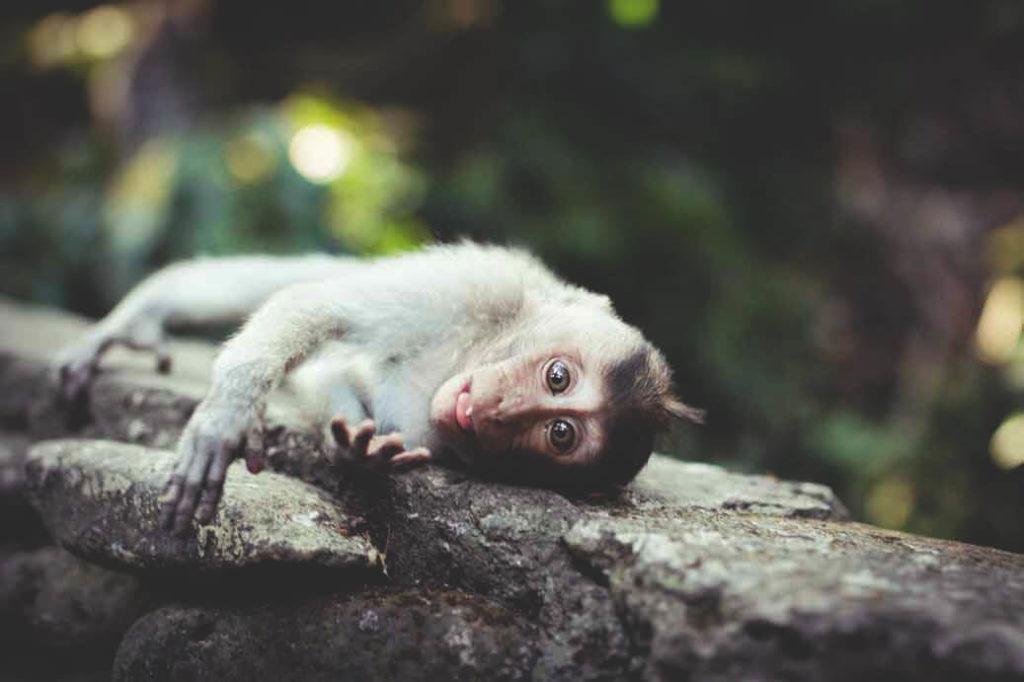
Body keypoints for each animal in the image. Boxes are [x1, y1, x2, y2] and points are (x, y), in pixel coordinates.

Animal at [54, 243, 701, 535]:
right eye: (557, 377)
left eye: (558, 434)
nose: (498, 409)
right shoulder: (480, 288)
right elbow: (312, 307)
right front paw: (227, 418)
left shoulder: (437, 438)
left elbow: (333, 379)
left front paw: (358, 452)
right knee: (299, 282)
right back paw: (136, 319)